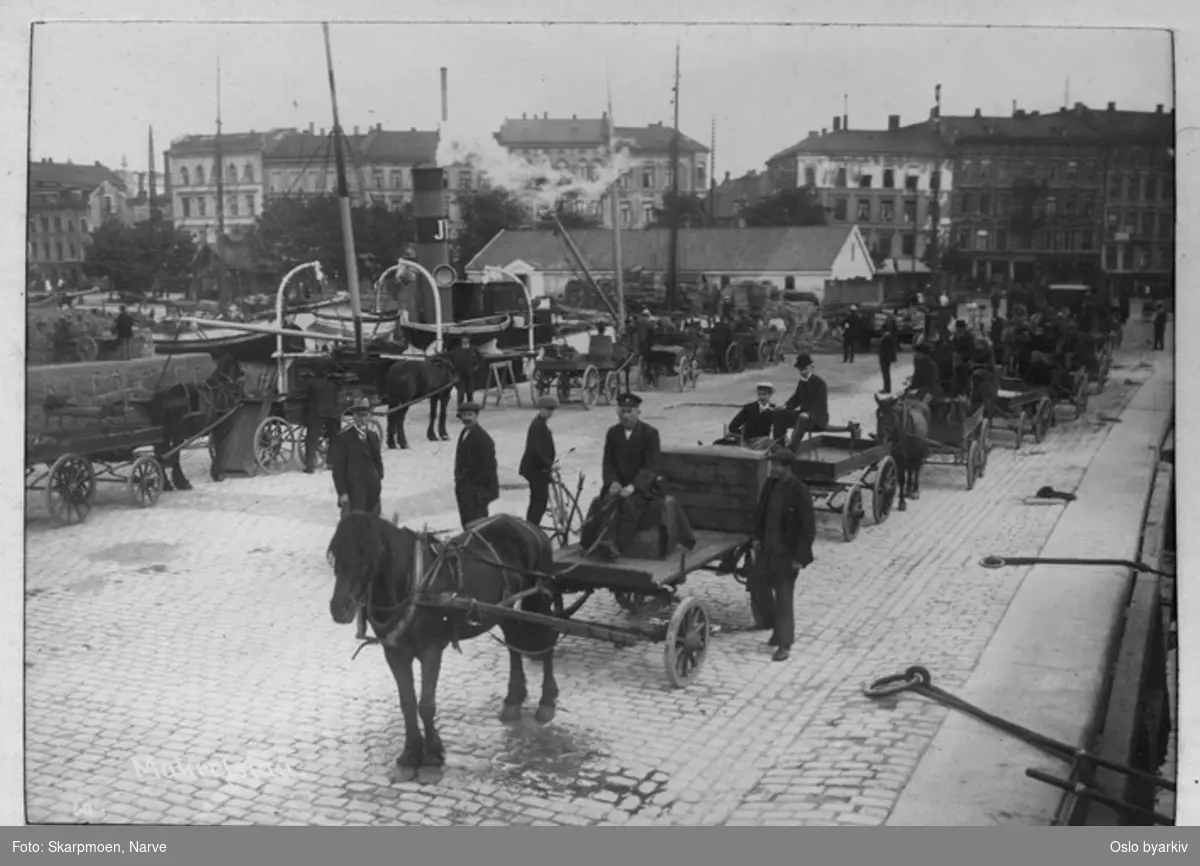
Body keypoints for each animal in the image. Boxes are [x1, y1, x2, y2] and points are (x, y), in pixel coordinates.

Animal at [135, 350, 244, 484]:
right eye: (236, 363)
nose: (244, 372)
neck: (223, 388)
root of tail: (163, 397)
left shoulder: (215, 429)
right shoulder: (221, 428)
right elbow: (220, 449)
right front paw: (218, 474)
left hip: (163, 433)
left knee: (159, 455)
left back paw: (166, 483)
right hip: (177, 433)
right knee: (174, 455)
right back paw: (182, 482)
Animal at [324, 508, 556, 777]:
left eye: (365, 554)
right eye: (334, 553)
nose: (339, 608)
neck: (413, 585)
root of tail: (530, 526)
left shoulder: (432, 648)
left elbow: (426, 704)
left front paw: (432, 754)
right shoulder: (394, 651)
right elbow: (408, 702)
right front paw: (410, 753)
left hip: (537, 599)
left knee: (547, 638)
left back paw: (547, 701)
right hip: (505, 609)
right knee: (513, 643)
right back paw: (513, 699)